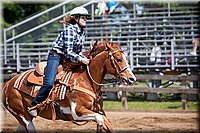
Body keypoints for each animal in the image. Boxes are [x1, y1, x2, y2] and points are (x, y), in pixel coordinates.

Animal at [1, 41, 136, 132]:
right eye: (118, 59)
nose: (132, 78)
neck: (85, 80)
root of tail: (7, 84)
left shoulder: (99, 111)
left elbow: (106, 123)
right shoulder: (76, 112)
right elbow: (99, 119)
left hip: (25, 118)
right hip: (22, 116)